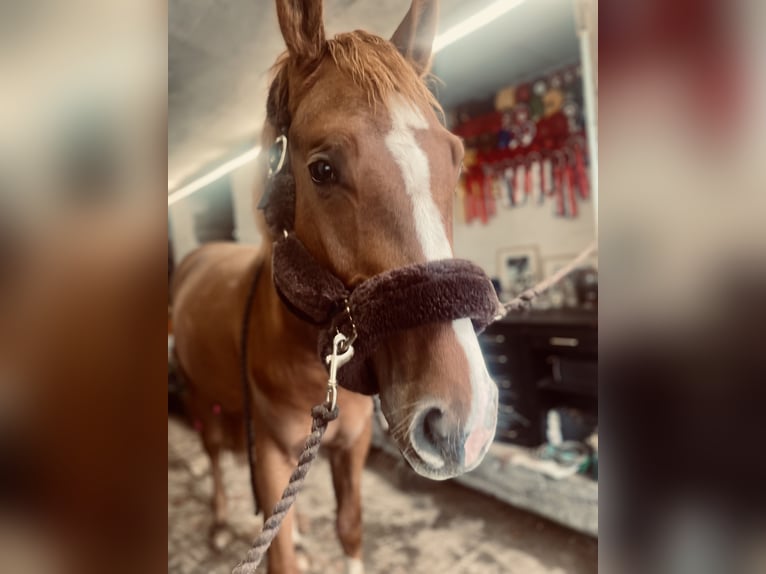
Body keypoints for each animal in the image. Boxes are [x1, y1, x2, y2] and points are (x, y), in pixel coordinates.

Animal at [170, 1, 499, 573]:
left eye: (455, 157)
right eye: (322, 169)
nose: (465, 422)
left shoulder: (352, 446)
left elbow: (348, 528)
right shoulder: (269, 454)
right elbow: (277, 550)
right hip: (198, 396)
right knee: (212, 454)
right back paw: (217, 522)